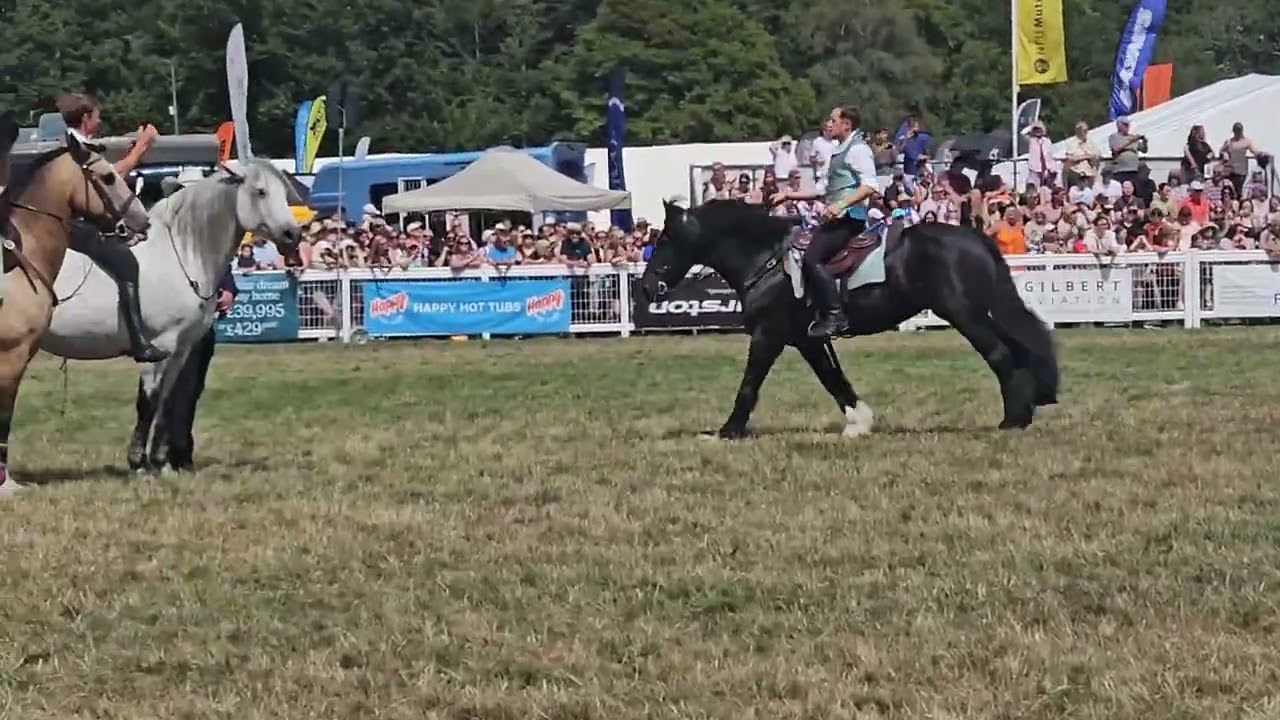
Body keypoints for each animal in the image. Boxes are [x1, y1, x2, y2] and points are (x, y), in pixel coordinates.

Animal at [39, 160, 304, 473]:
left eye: (284, 192)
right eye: (260, 191)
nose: (293, 235)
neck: (181, 254)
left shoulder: (181, 350)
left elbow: (167, 400)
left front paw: (161, 461)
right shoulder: (160, 346)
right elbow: (148, 401)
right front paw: (139, 462)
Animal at [637, 199, 1059, 438]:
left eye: (664, 240)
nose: (646, 288)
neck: (767, 261)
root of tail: (976, 238)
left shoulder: (769, 334)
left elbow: (750, 383)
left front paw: (729, 430)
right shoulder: (806, 338)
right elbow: (833, 379)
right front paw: (860, 421)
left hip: (965, 315)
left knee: (1000, 355)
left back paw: (1013, 420)